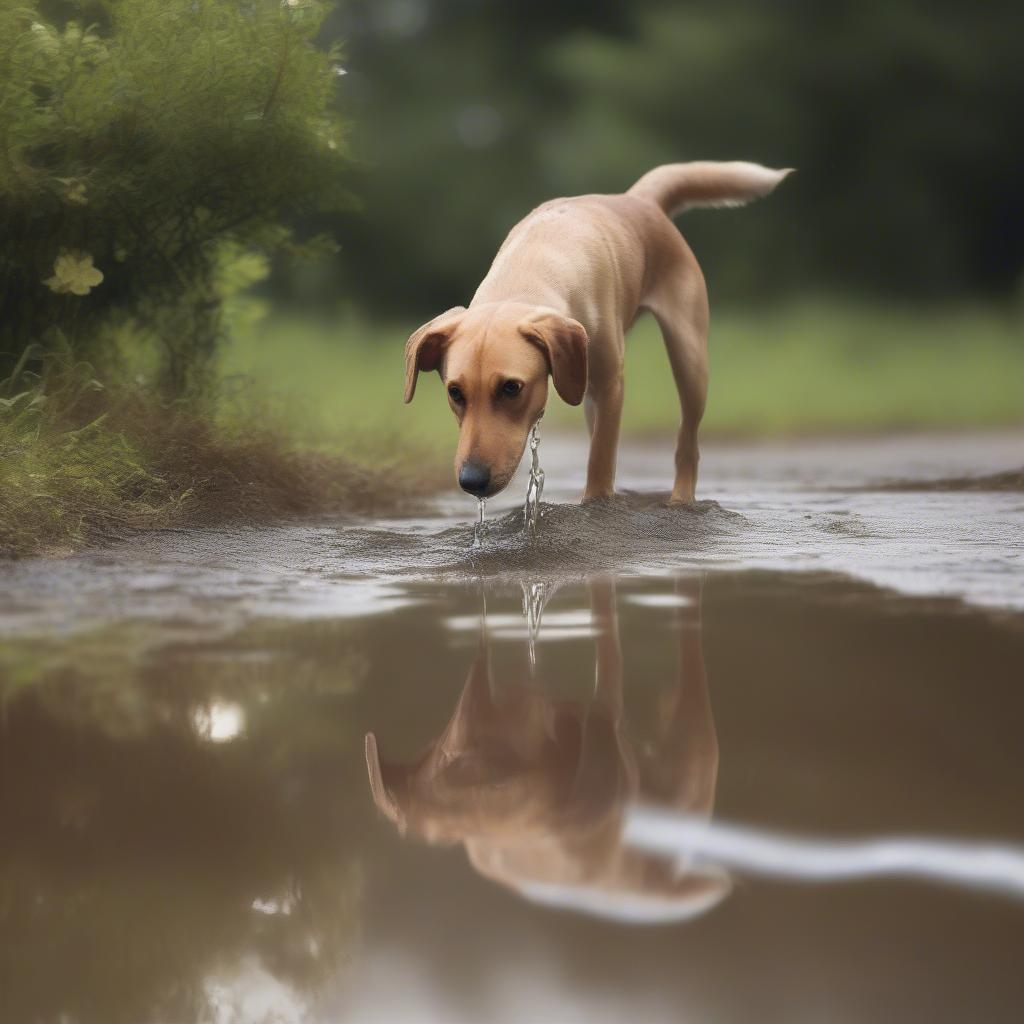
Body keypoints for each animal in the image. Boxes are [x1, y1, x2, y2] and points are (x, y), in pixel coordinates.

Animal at [403, 159, 786, 503]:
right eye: (455, 392)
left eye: (512, 388)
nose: (472, 481)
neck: (528, 271)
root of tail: (639, 199)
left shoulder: (609, 386)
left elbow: (600, 462)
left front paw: (596, 506)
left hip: (688, 358)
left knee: (687, 444)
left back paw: (680, 500)